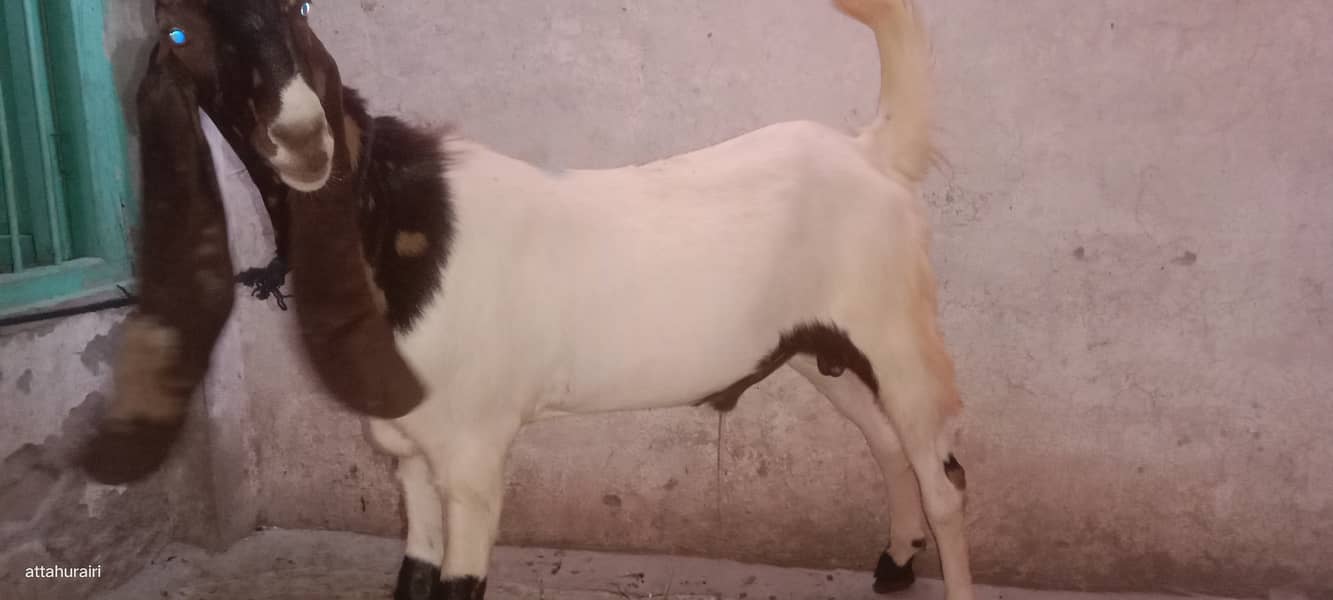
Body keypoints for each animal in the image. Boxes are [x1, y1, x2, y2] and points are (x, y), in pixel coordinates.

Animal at [83, 1, 974, 599]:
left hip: (897, 332)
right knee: (889, 447)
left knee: (945, 482)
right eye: (178, 32)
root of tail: (873, 150)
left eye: (301, 7)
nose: (303, 139)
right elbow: (412, 578)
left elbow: (458, 586)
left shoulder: (475, 454)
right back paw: (894, 563)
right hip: (818, 349)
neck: (398, 220)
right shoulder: (410, 455)